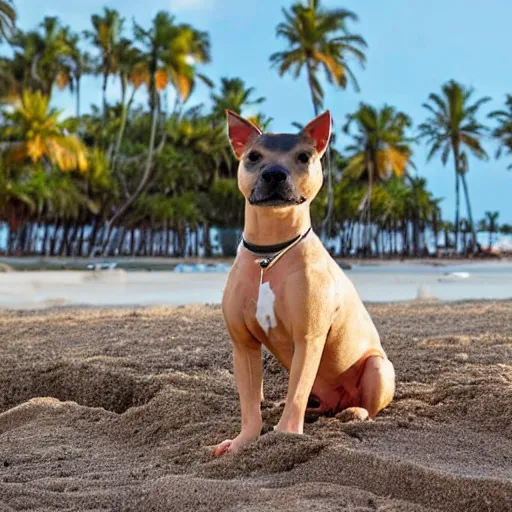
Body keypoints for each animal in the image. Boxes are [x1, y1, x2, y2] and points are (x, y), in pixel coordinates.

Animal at [216, 109, 396, 456]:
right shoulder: (243, 344)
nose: (274, 174)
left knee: (364, 405)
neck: (270, 254)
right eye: (254, 157)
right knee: (309, 401)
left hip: (379, 368)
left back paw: (355, 412)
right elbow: (250, 403)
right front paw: (244, 441)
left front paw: (285, 437)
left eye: (303, 157)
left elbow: (297, 391)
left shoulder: (308, 338)